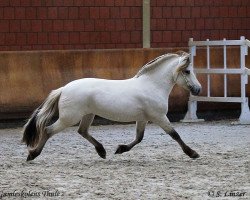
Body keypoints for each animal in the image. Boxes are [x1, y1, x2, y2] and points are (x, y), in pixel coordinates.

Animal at [21, 50, 201, 162]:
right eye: (187, 71)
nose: (198, 89)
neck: (152, 85)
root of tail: (64, 88)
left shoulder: (143, 119)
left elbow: (139, 138)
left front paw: (120, 149)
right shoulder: (159, 117)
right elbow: (175, 135)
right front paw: (192, 153)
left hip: (88, 115)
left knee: (82, 131)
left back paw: (102, 151)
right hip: (69, 118)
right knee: (48, 130)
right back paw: (33, 155)